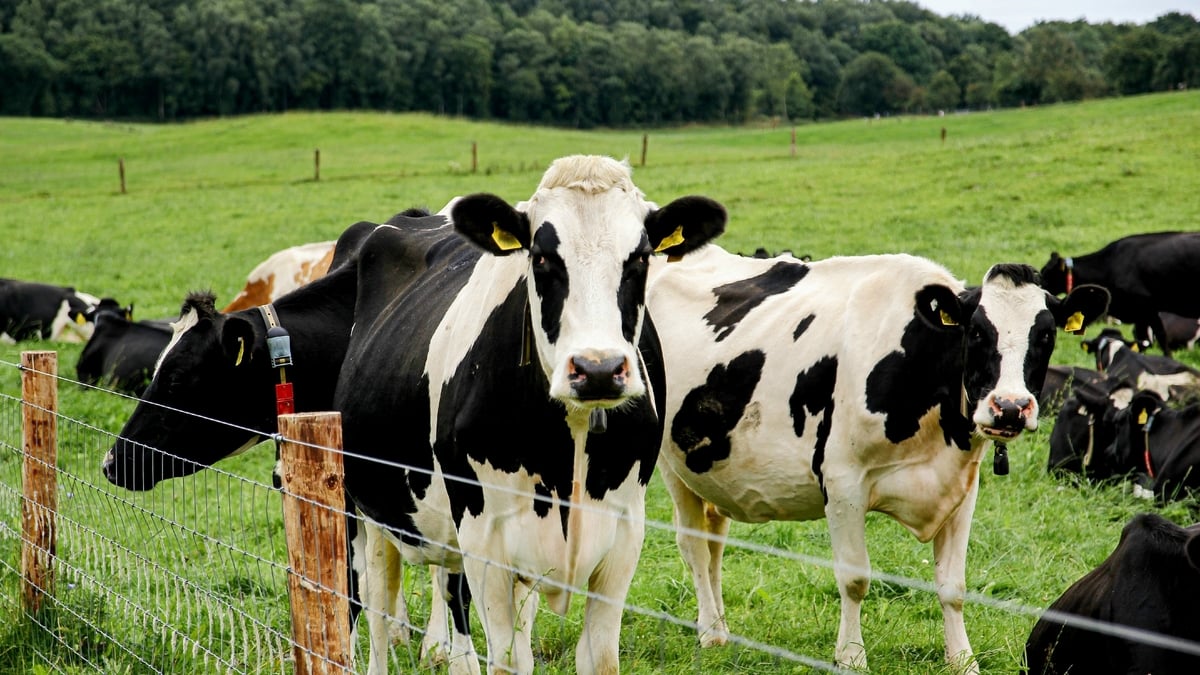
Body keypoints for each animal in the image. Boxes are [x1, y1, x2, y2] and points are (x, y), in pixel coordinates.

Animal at [332, 154, 726, 675]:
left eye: (640, 257)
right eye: (540, 257)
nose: (598, 369)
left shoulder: (624, 534)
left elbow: (598, 657)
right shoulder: (485, 542)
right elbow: (507, 660)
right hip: (368, 506)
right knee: (377, 602)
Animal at [643, 248, 1110, 673]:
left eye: (1046, 336)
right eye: (976, 333)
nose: (1010, 407)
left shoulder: (962, 486)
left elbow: (953, 585)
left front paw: (963, 660)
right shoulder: (842, 482)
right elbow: (854, 578)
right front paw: (851, 657)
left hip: (711, 469)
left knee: (715, 542)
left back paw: (721, 627)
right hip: (672, 463)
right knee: (693, 545)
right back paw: (710, 632)